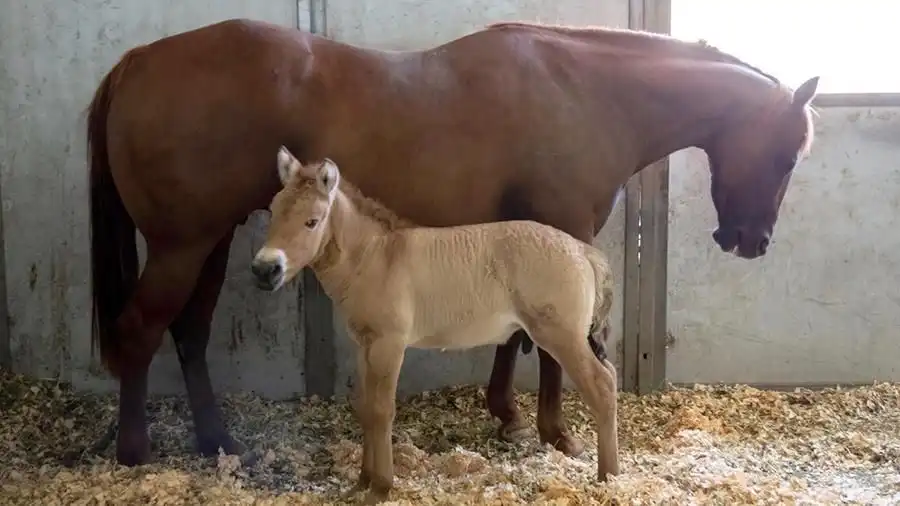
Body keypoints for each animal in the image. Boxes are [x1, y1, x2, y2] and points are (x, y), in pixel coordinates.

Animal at [252, 148, 619, 500]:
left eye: (312, 221)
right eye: (274, 211)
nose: (265, 270)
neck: (377, 257)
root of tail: (583, 251)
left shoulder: (389, 344)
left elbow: (382, 411)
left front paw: (381, 487)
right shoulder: (364, 345)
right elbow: (366, 408)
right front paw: (360, 483)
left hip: (562, 336)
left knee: (602, 386)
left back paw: (609, 478)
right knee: (610, 376)